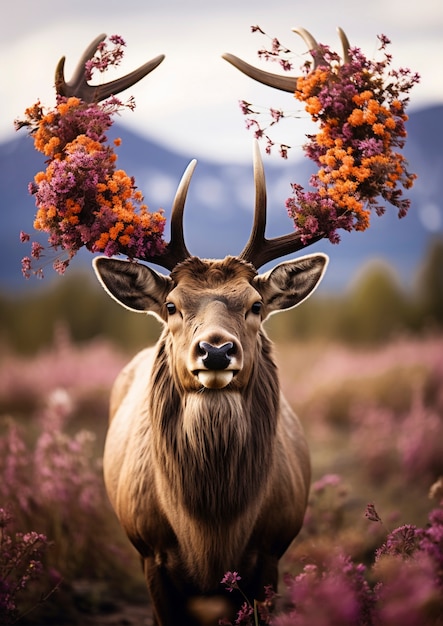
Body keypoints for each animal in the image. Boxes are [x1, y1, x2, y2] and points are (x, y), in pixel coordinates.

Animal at [54, 28, 340, 620]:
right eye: (171, 306)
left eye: (254, 304)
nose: (215, 351)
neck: (211, 534)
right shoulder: (149, 553)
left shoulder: (271, 553)